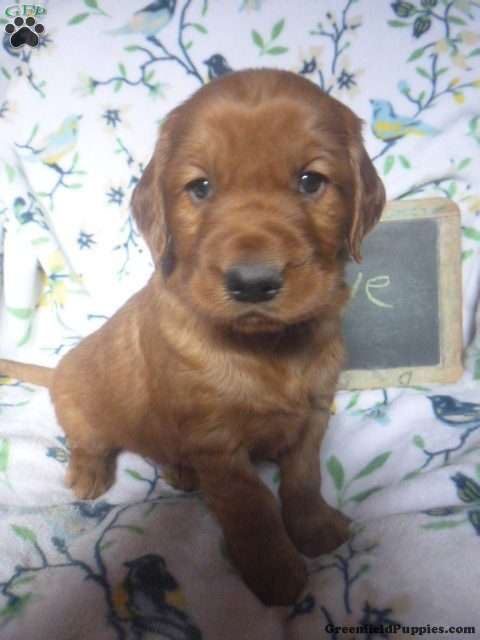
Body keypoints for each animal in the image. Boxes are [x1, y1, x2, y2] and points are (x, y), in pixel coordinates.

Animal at [0, 68, 385, 606]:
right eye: (200, 188)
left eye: (311, 181)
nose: (252, 283)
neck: (266, 347)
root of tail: (56, 371)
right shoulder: (217, 442)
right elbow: (252, 505)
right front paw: (275, 570)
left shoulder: (313, 411)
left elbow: (303, 477)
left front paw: (314, 528)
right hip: (79, 400)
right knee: (87, 439)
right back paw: (90, 473)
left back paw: (181, 473)